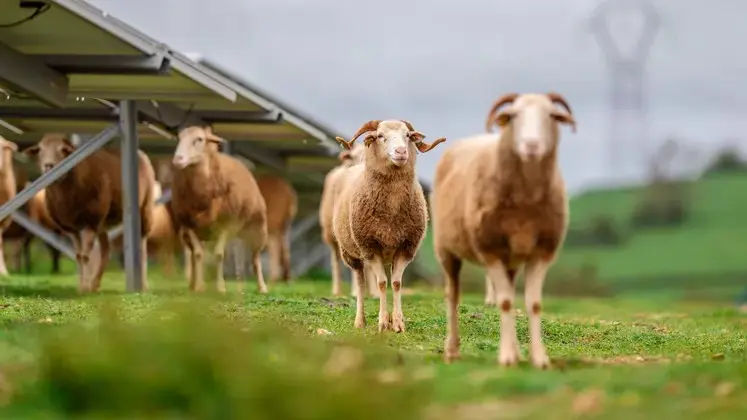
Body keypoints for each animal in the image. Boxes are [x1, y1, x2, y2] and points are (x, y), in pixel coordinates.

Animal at [23, 134, 156, 292]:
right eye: (39, 150)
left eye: (63, 150)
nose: (49, 166)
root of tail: (140, 153)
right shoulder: (71, 228)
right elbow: (79, 256)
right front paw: (82, 287)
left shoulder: (90, 222)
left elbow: (85, 256)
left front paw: (85, 287)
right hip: (102, 223)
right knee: (106, 251)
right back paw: (95, 284)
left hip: (144, 208)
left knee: (142, 246)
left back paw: (143, 286)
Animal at [171, 126, 268, 294]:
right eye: (179, 138)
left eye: (199, 139)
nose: (178, 159)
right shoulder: (188, 224)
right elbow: (198, 254)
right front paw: (199, 287)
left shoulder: (227, 224)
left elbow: (218, 254)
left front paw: (220, 287)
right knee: (195, 255)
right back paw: (194, 285)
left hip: (257, 230)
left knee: (255, 258)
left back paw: (261, 287)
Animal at [322, 144, 380, 298]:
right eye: (354, 157)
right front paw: (355, 292)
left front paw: (374, 292)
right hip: (332, 232)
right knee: (336, 259)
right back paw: (337, 290)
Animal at [332, 118, 444, 332]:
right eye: (380, 136)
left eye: (407, 136)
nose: (401, 151)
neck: (391, 211)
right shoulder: (370, 247)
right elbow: (383, 283)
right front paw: (383, 323)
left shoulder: (406, 247)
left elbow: (397, 283)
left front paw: (398, 322)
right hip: (351, 253)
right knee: (360, 284)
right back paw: (360, 321)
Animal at [430, 91, 576, 368]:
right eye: (513, 116)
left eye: (552, 115)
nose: (532, 146)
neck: (526, 201)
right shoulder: (490, 250)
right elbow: (506, 302)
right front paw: (507, 357)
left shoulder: (542, 253)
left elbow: (534, 304)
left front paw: (539, 358)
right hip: (446, 250)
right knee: (453, 296)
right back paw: (452, 350)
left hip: (512, 260)